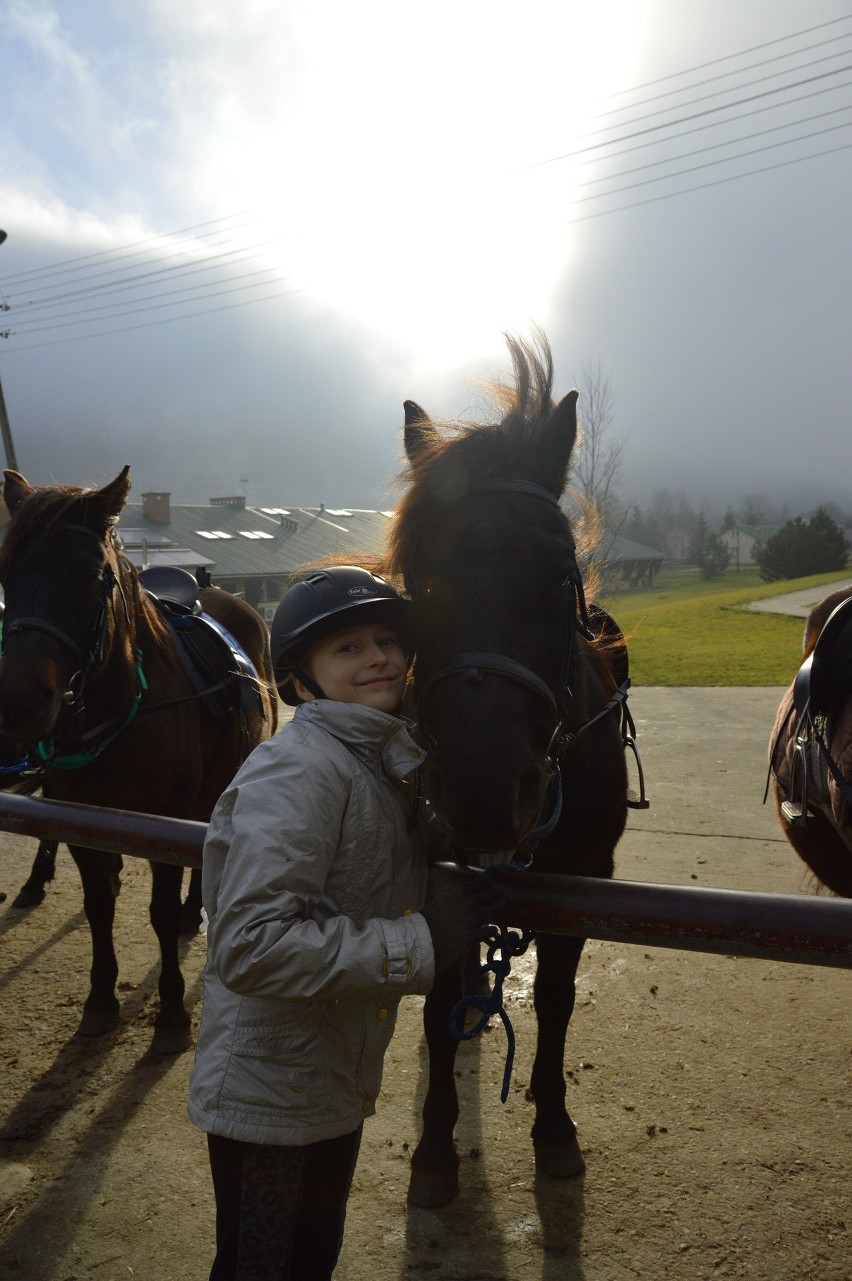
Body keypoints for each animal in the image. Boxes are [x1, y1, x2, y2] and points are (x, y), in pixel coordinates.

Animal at [0, 471, 275, 1050]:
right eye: (6, 570)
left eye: (91, 577)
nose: (19, 702)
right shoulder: (81, 820)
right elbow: (98, 905)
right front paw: (100, 999)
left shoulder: (160, 821)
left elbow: (162, 913)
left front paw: (170, 1013)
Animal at [384, 333, 638, 1209]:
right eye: (416, 580)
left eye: (560, 570)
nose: (484, 791)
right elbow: (437, 999)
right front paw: (435, 1145)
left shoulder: (585, 878)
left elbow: (556, 1001)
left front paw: (554, 1127)